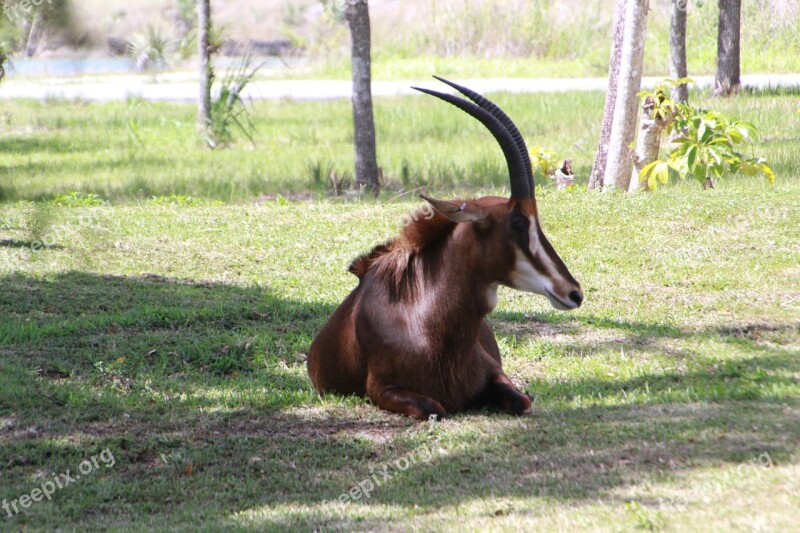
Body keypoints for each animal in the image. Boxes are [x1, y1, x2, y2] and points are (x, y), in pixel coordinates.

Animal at [306, 77, 580, 418]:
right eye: (518, 222)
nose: (573, 292)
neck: (422, 321)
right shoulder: (380, 388)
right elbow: (433, 407)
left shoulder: (496, 373)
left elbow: (521, 400)